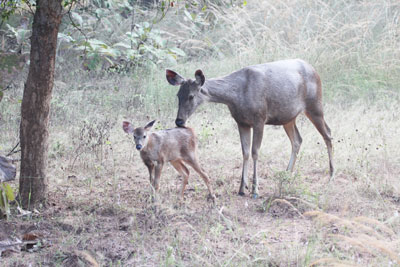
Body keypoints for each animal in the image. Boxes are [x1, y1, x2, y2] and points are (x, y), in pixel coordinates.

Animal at [166, 58, 334, 199]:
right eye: (178, 95)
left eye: (191, 96)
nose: (179, 121)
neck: (236, 96)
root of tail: (314, 69)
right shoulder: (242, 122)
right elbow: (245, 152)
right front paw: (242, 188)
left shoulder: (260, 118)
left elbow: (255, 152)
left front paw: (255, 190)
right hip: (288, 117)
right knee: (297, 140)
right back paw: (287, 174)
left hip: (315, 104)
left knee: (328, 133)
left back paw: (331, 174)